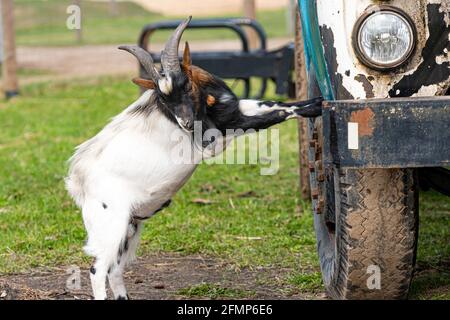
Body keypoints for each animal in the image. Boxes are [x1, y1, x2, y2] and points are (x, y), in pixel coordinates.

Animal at [65, 16, 322, 298]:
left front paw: (315, 100)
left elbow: (272, 104)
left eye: (186, 84)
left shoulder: (236, 109)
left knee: (115, 270)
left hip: (129, 228)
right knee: (98, 270)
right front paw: (317, 107)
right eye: (163, 98)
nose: (187, 123)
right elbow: (273, 116)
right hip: (111, 225)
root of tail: (79, 181)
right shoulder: (214, 140)